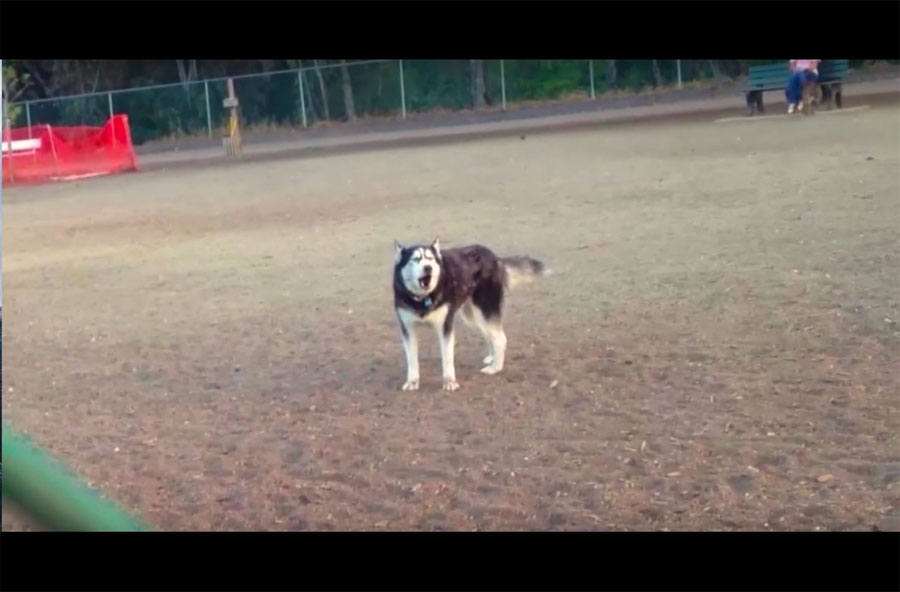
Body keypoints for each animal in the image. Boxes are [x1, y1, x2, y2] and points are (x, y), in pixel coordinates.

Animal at [394, 238, 548, 390]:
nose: (428, 267)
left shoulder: (445, 327)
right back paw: (492, 357)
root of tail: (493, 256)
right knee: (490, 334)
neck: (423, 298)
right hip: (474, 318)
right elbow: (412, 360)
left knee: (500, 339)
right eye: (415, 259)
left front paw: (449, 382)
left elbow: (447, 358)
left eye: (430, 259)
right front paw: (412, 382)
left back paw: (495, 368)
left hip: (486, 310)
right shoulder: (407, 329)